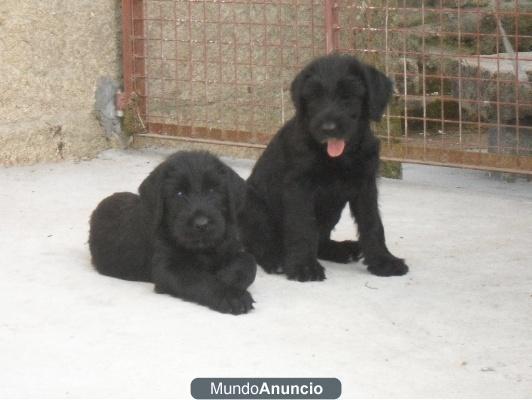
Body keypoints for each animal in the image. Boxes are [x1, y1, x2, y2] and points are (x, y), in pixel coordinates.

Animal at [88, 149, 256, 312]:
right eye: (179, 193)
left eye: (212, 190)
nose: (201, 224)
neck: (202, 249)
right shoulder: (168, 269)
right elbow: (199, 279)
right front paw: (230, 294)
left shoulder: (230, 247)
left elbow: (248, 262)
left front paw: (226, 277)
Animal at [239, 54, 410, 282]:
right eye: (314, 97)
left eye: (348, 95)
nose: (328, 128)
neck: (339, 157)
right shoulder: (299, 187)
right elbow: (303, 225)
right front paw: (304, 266)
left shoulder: (366, 186)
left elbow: (372, 223)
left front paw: (383, 261)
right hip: (253, 206)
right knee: (258, 244)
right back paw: (277, 260)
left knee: (321, 240)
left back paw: (342, 249)